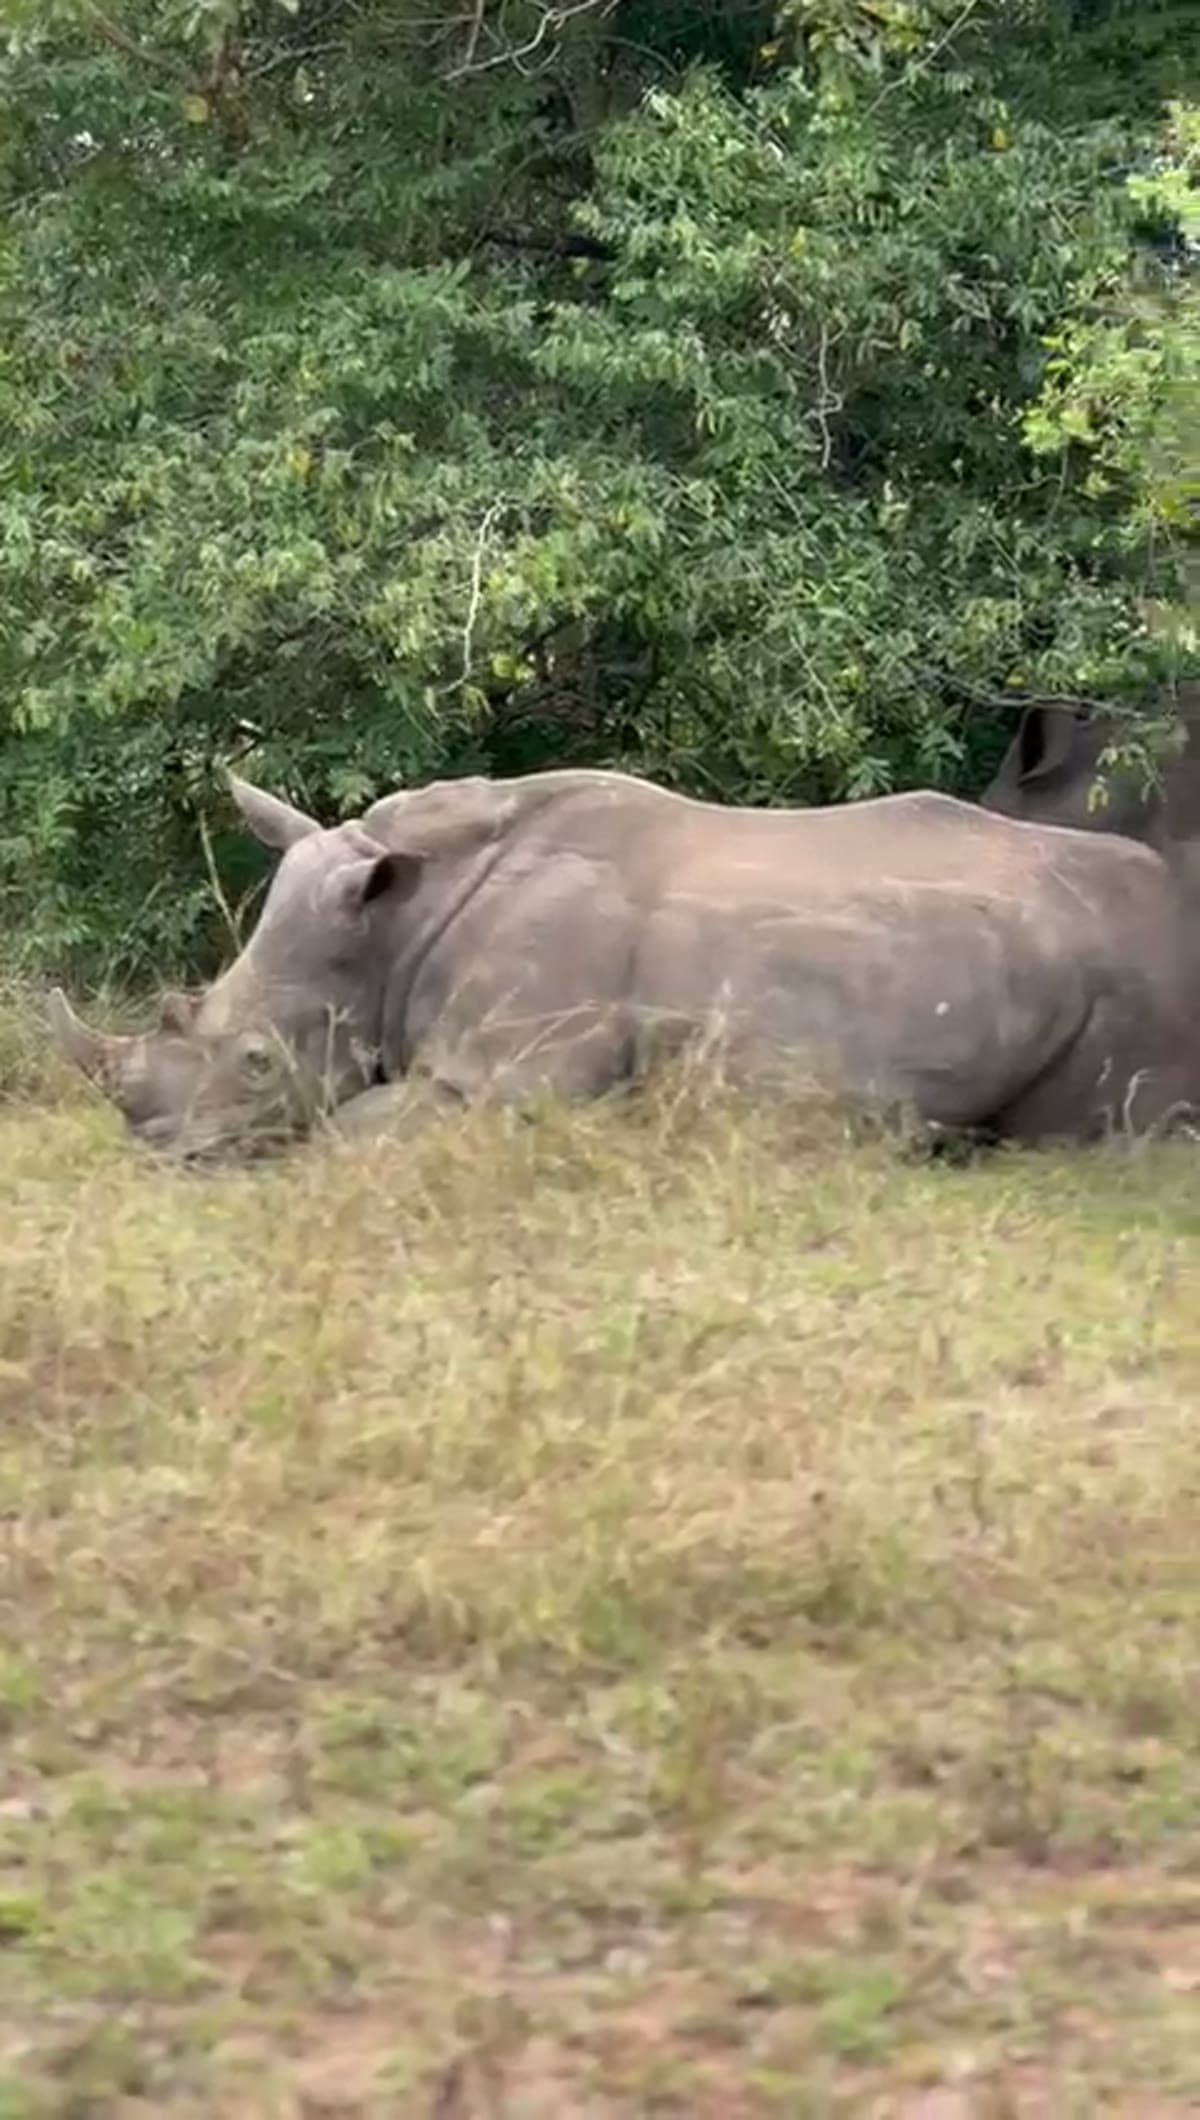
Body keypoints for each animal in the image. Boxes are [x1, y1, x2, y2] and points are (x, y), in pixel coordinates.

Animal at [47, 763, 1200, 1162]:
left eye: (255, 1065)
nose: (163, 1156)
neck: (392, 926)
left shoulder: (507, 1077)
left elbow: (358, 1126)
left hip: (1128, 976)